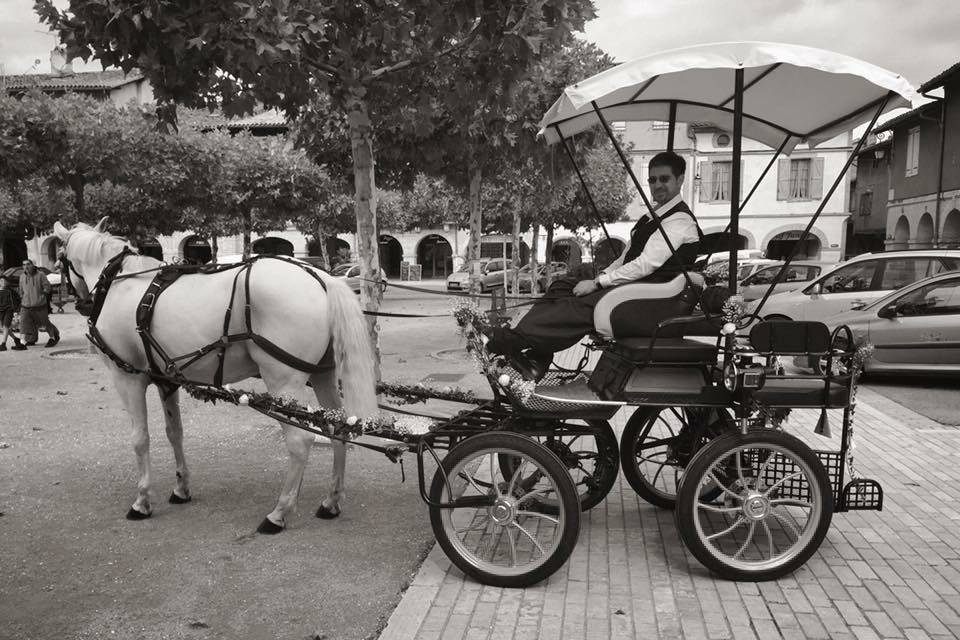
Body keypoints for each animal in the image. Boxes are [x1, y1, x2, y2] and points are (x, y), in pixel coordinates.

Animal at [50, 218, 376, 532]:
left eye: (60, 259)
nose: (78, 302)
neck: (124, 284)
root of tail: (322, 278)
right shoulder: (167, 380)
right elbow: (174, 432)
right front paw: (181, 487)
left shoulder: (128, 378)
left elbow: (140, 439)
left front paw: (142, 501)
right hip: (323, 376)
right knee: (338, 429)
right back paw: (331, 501)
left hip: (284, 381)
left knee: (300, 441)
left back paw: (278, 513)